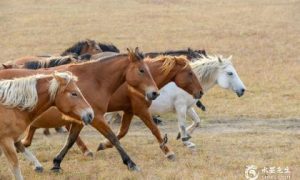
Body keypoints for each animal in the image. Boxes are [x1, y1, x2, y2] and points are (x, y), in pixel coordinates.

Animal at [21, 54, 204, 160]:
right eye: (190, 73)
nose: (200, 92)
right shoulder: (141, 110)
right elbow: (154, 130)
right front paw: (168, 152)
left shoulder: (129, 110)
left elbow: (121, 133)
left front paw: (103, 145)